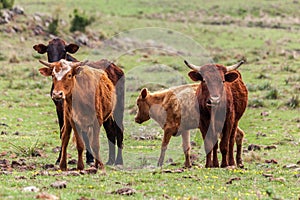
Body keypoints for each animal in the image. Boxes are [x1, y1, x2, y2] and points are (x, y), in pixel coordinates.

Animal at [33, 38, 125, 166]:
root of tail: (116, 68)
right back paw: (110, 160)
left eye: (64, 50)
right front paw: (60, 158)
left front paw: (90, 158)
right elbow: (63, 132)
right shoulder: (60, 108)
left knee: (119, 129)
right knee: (110, 130)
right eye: (48, 50)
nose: (54, 66)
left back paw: (119, 161)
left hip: (119, 107)